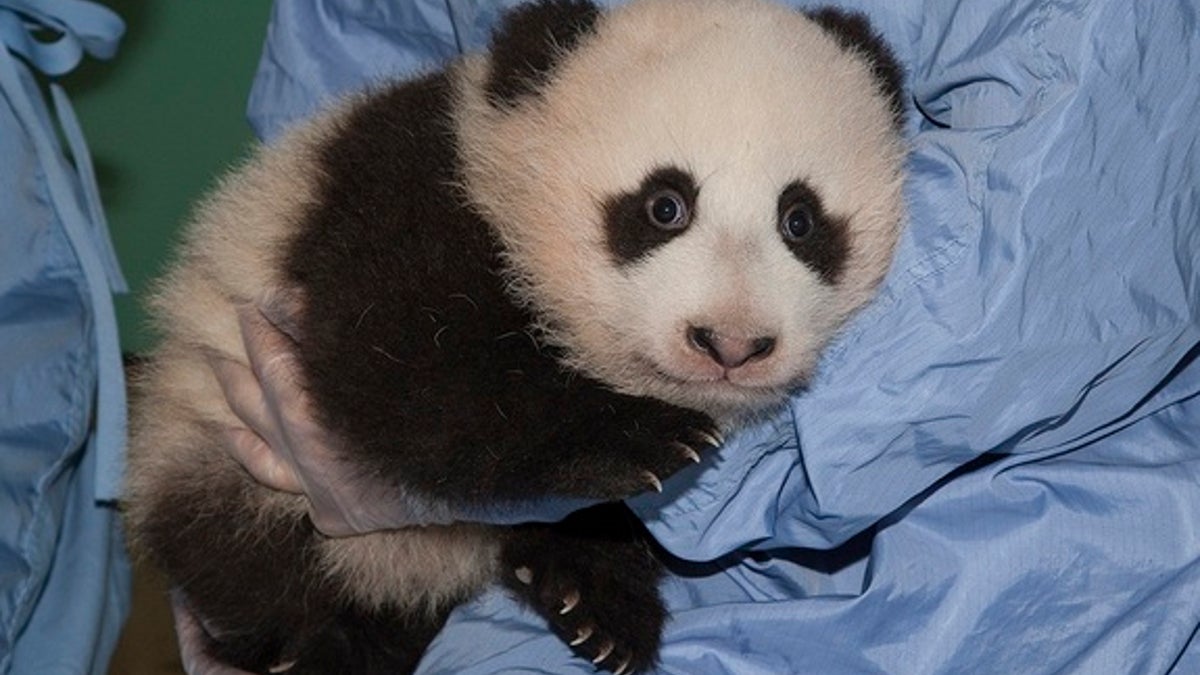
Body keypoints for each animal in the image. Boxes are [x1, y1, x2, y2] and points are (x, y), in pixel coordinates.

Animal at [123, 0, 906, 673]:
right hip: (210, 449)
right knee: (255, 570)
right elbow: (408, 378)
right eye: (665, 205)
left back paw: (583, 597)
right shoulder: (398, 203)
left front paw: (605, 582)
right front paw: (648, 438)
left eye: (799, 220)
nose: (732, 344)